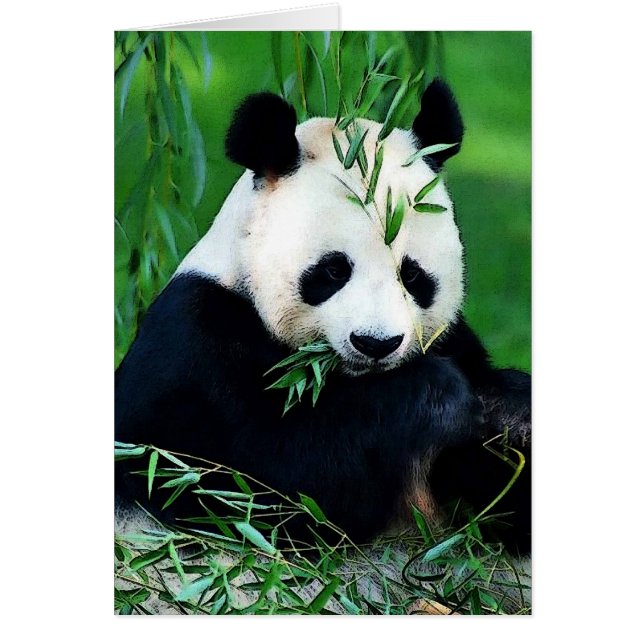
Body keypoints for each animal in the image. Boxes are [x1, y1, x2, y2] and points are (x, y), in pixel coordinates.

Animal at [115, 80, 531, 557]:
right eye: (333, 270)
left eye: (411, 274)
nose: (375, 343)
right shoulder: (194, 345)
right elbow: (257, 486)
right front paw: (438, 394)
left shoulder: (453, 339)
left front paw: (510, 415)